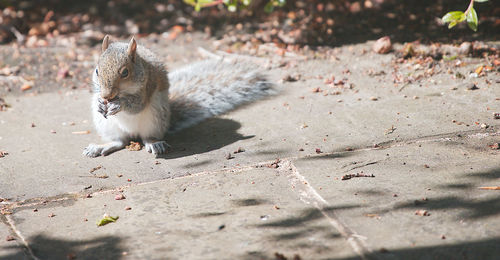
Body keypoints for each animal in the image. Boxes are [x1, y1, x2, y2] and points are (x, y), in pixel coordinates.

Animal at [84, 34, 276, 156]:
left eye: (125, 73)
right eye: (96, 71)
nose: (106, 95)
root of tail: (133, 134)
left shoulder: (148, 85)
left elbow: (137, 105)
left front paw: (120, 104)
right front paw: (102, 102)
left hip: (155, 117)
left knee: (147, 137)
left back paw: (155, 144)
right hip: (106, 125)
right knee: (120, 142)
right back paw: (100, 147)